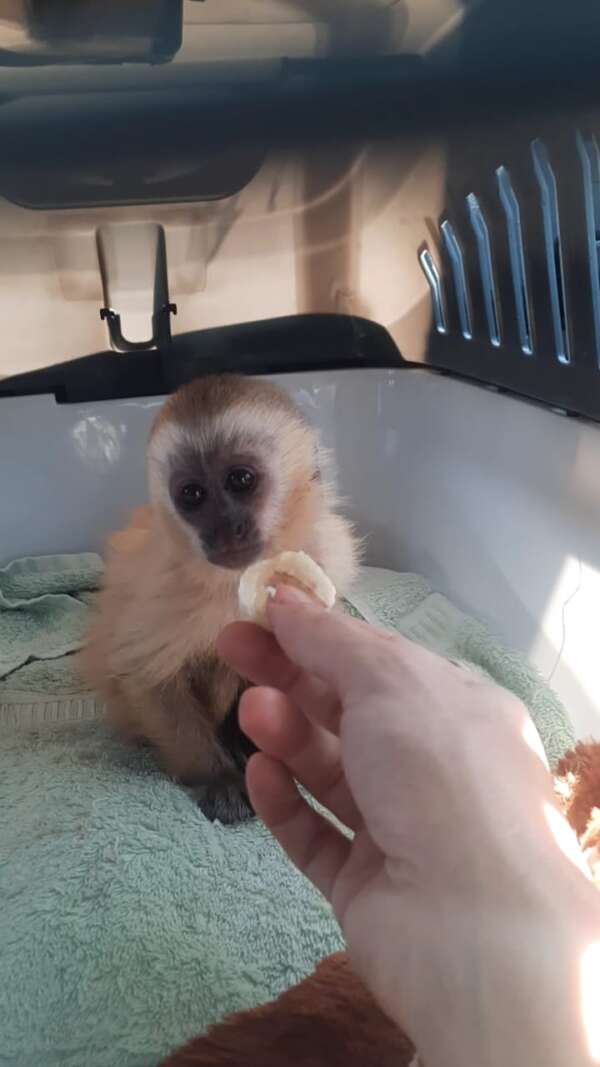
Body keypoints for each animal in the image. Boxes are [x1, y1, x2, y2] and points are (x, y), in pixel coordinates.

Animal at [81, 374, 360, 826]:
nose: (225, 527)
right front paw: (218, 778)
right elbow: (142, 673)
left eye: (240, 480)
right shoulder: (159, 583)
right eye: (193, 494)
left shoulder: (323, 555)